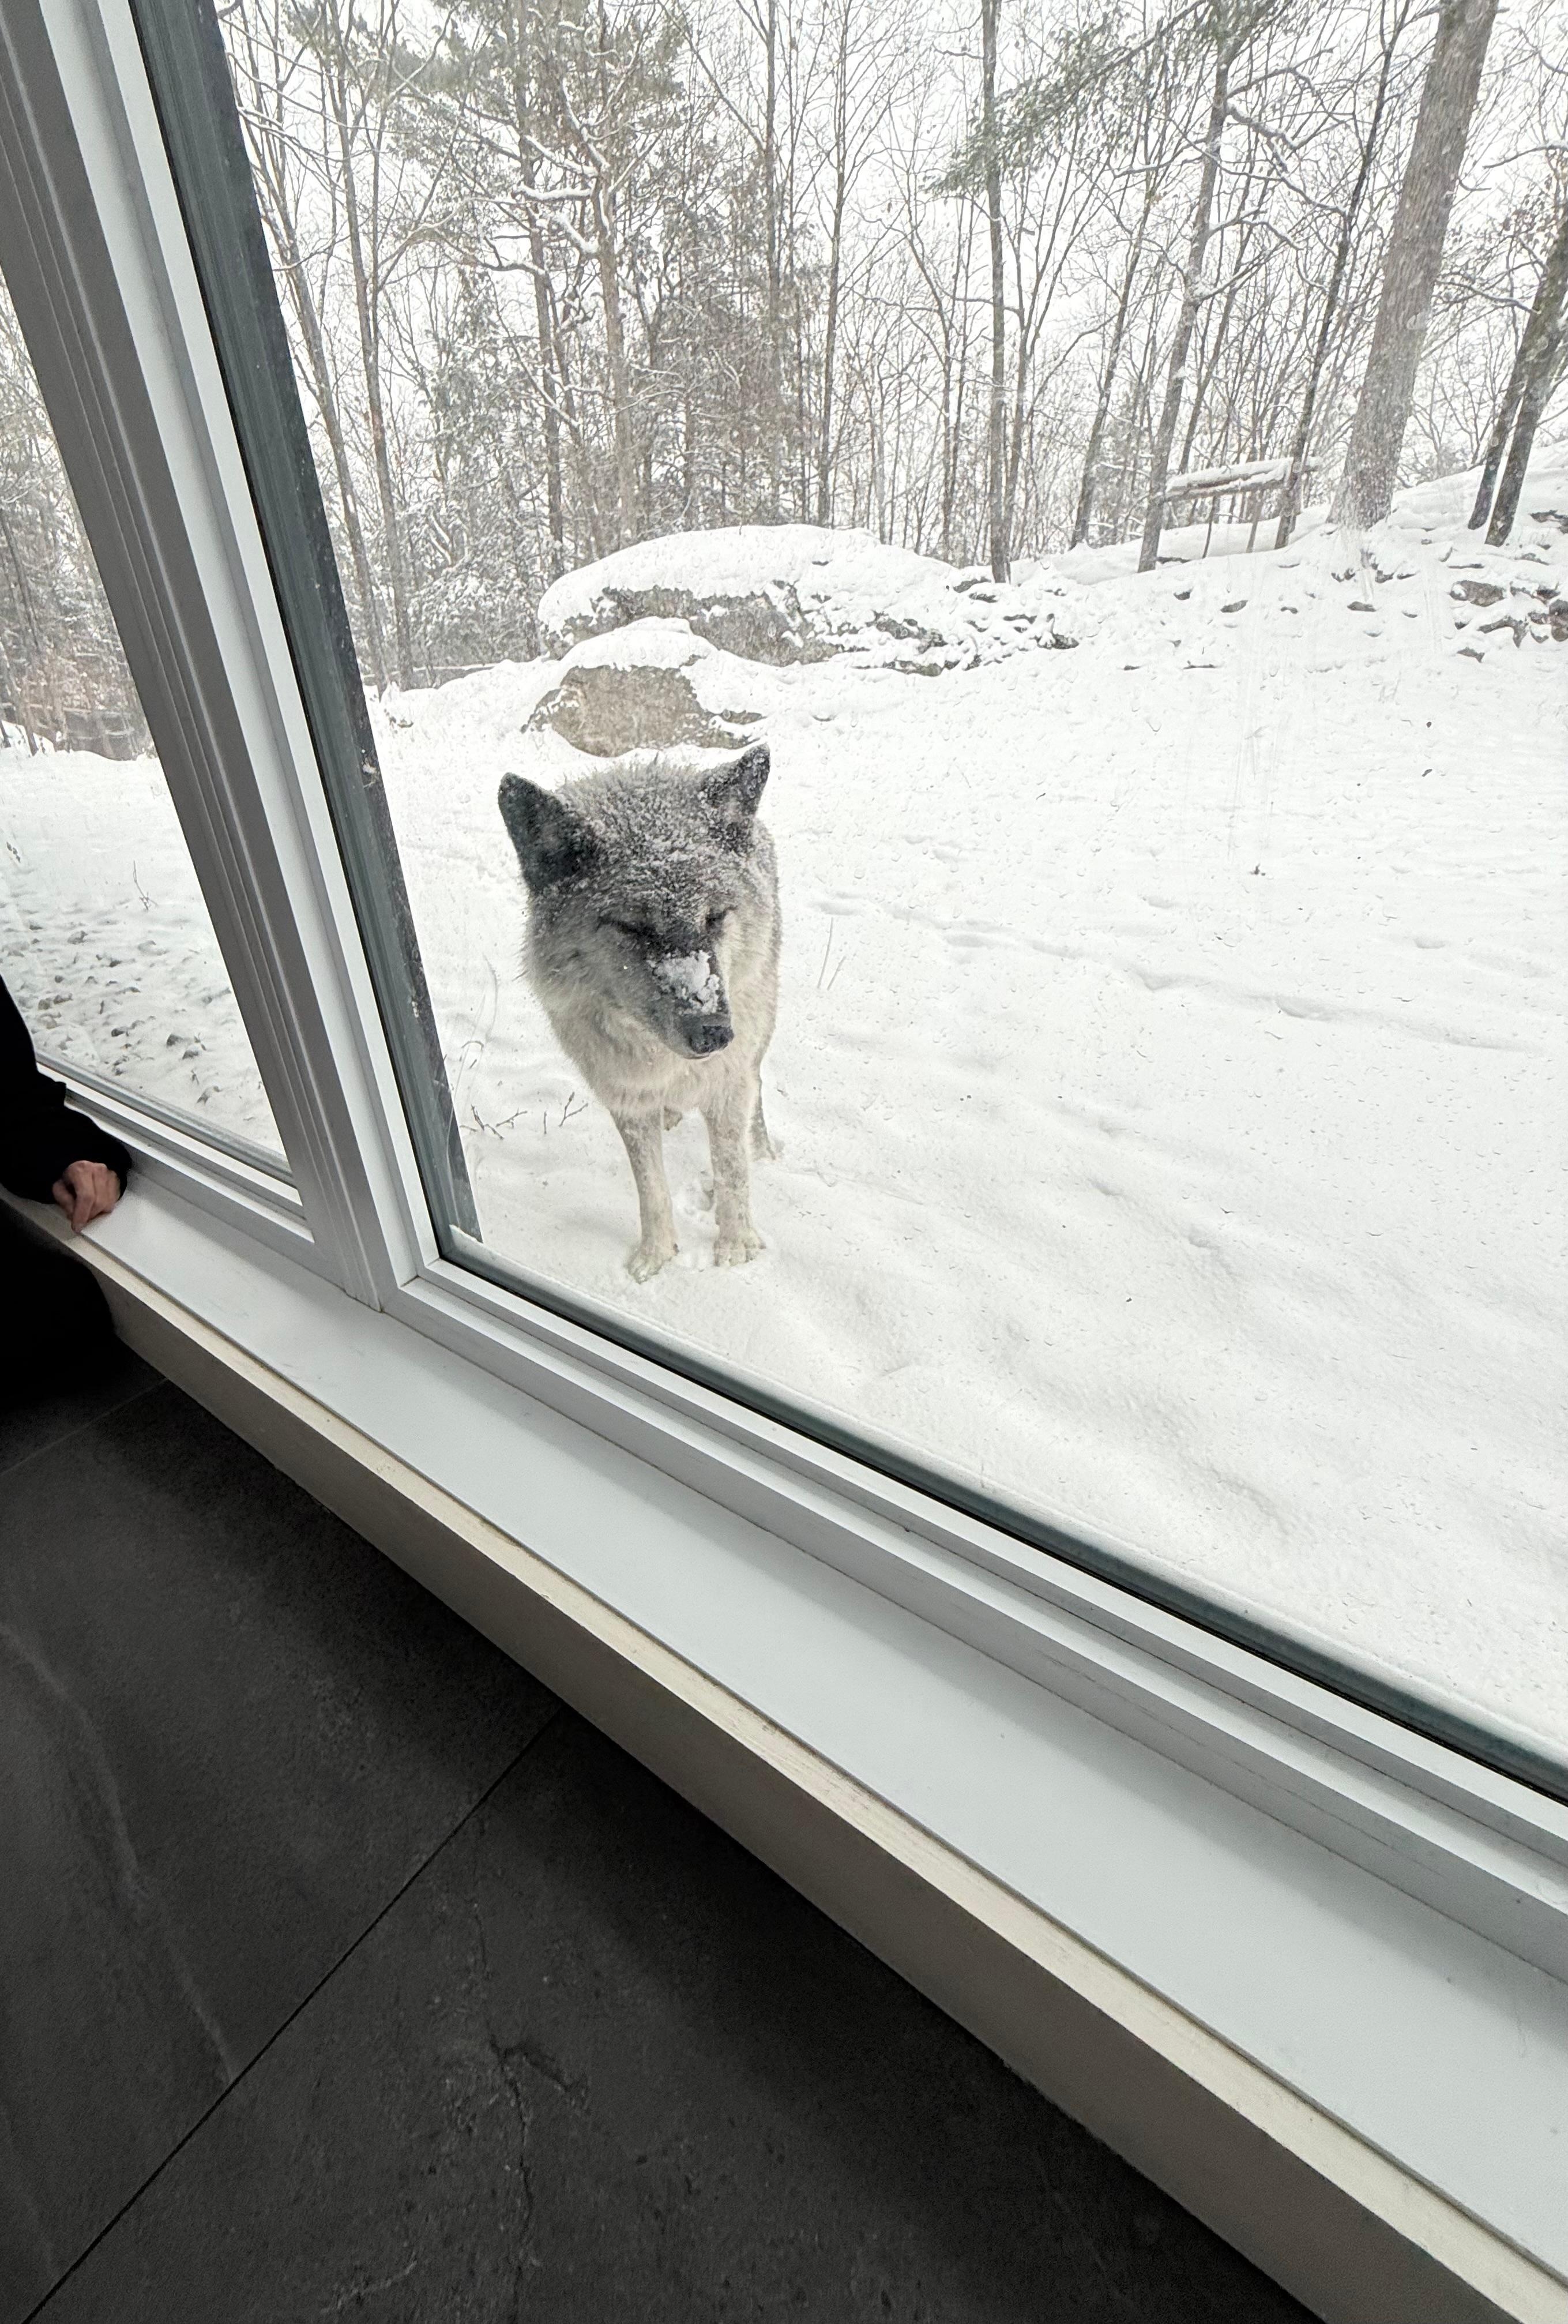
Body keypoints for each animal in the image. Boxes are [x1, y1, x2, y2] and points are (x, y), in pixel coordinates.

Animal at [498, 744, 780, 1281]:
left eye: (715, 916)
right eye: (633, 928)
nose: (714, 1033)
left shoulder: (728, 1082)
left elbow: (732, 1169)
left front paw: (736, 1251)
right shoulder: (625, 1100)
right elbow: (650, 1188)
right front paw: (656, 1257)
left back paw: (764, 1151)